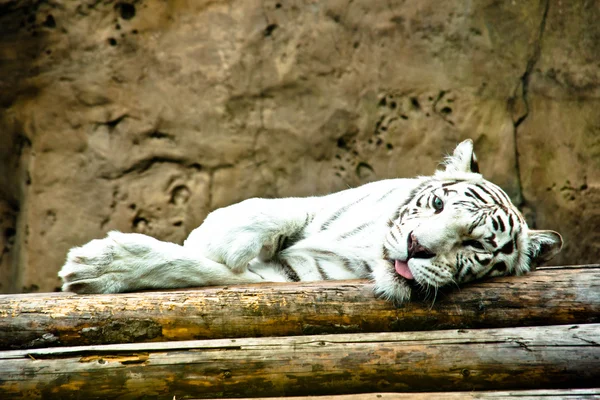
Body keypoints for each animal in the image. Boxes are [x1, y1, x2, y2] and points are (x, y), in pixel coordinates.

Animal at [58, 141, 560, 304]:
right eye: (436, 205)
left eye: (476, 245)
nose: (416, 246)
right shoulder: (322, 204)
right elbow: (280, 207)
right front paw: (214, 236)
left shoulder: (287, 278)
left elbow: (201, 271)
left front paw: (101, 266)